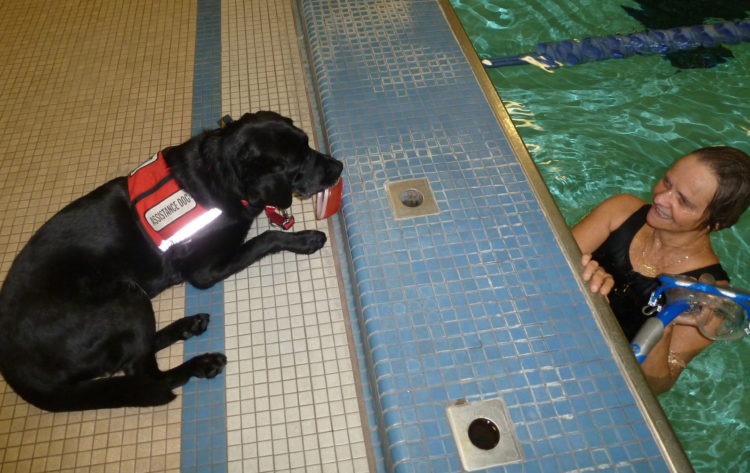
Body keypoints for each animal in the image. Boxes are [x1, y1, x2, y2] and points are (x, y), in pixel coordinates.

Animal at [0, 110, 346, 410]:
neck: (218, 174)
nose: (339, 166)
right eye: (300, 159)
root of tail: (16, 371)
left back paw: (187, 326)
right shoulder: (203, 272)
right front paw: (306, 239)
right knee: (149, 376)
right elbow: (266, 238)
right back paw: (200, 363)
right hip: (125, 297)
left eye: (308, 143)